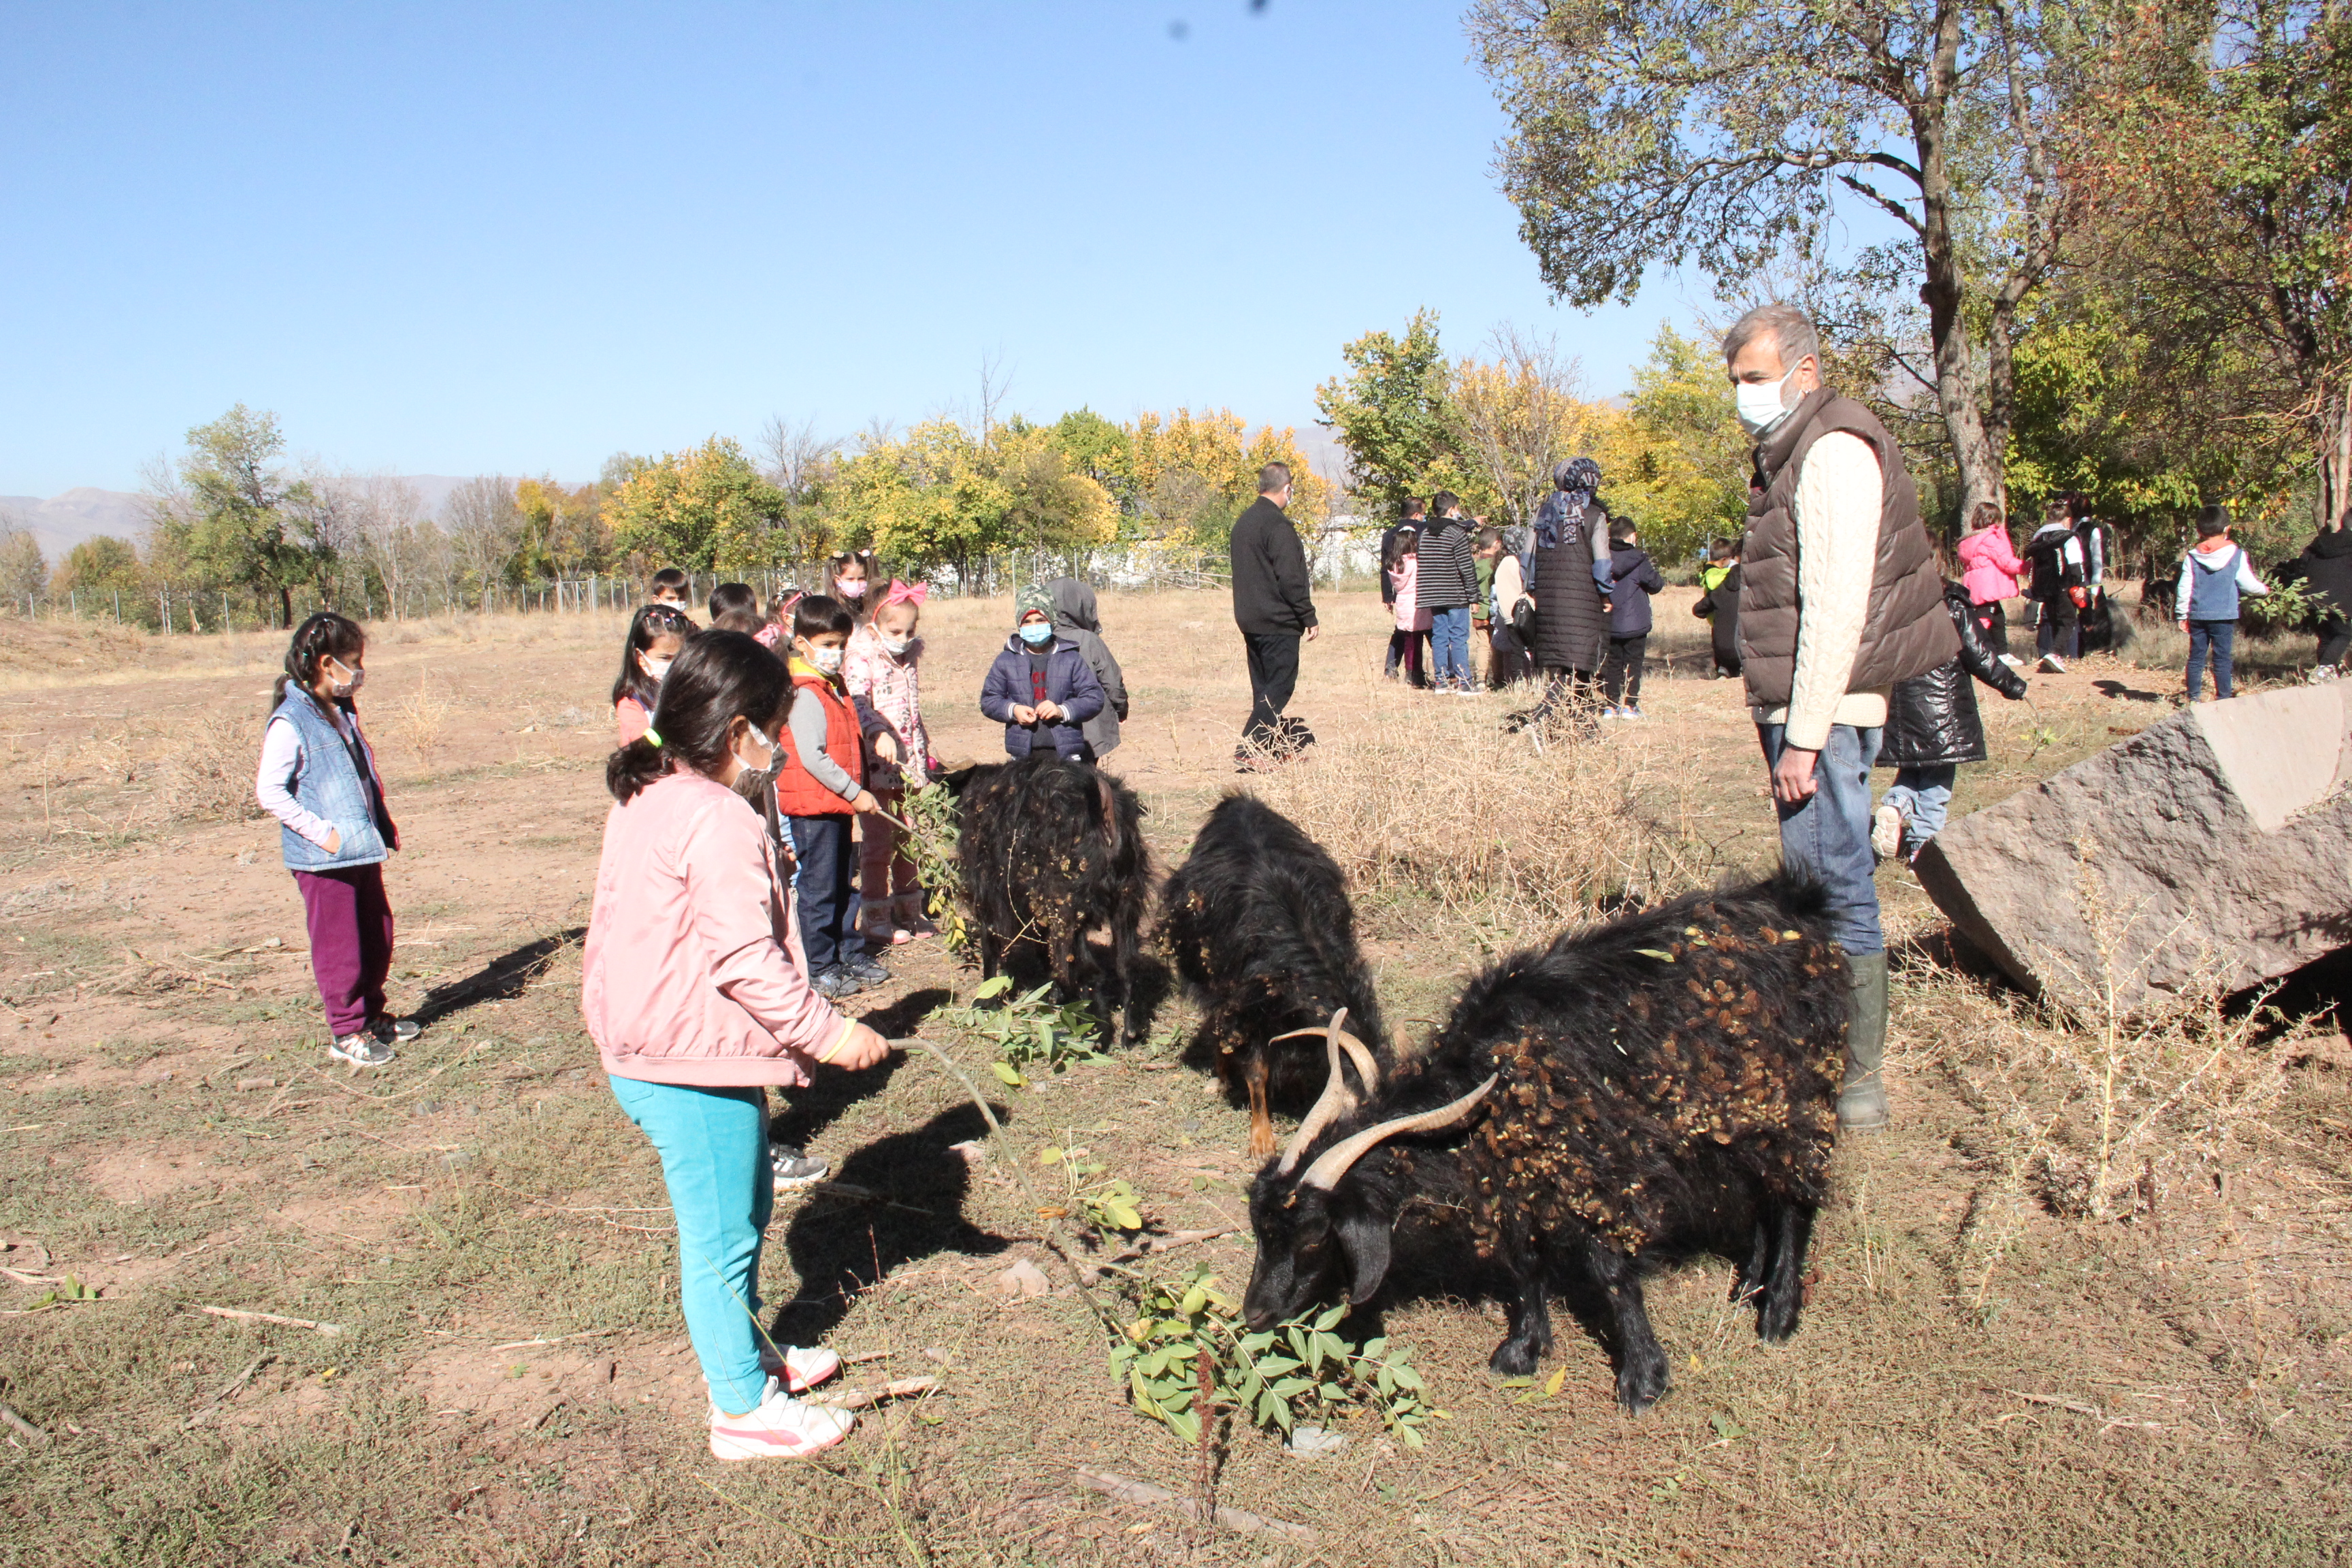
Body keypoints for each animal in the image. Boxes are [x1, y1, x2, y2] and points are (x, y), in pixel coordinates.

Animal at [945, 757, 1147, 1043]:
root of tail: (1103, 806)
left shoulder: (990, 896)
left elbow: (991, 945)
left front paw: (987, 1001)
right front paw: (1054, 995)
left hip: (1069, 908)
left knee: (1090, 970)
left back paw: (1095, 1034)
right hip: (1126, 901)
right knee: (1126, 964)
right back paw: (1130, 1033)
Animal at [1241, 879, 1844, 1420]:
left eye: (1315, 1236)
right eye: (1262, 1229)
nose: (1255, 1314)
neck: (1493, 1078)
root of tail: (1797, 904)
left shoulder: (1600, 1170)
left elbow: (1611, 1271)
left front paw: (1643, 1380)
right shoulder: (1517, 1172)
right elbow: (1524, 1257)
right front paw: (1522, 1350)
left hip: (1795, 1096)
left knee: (1795, 1196)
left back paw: (1778, 1313)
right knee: (1764, 1191)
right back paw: (1750, 1286)